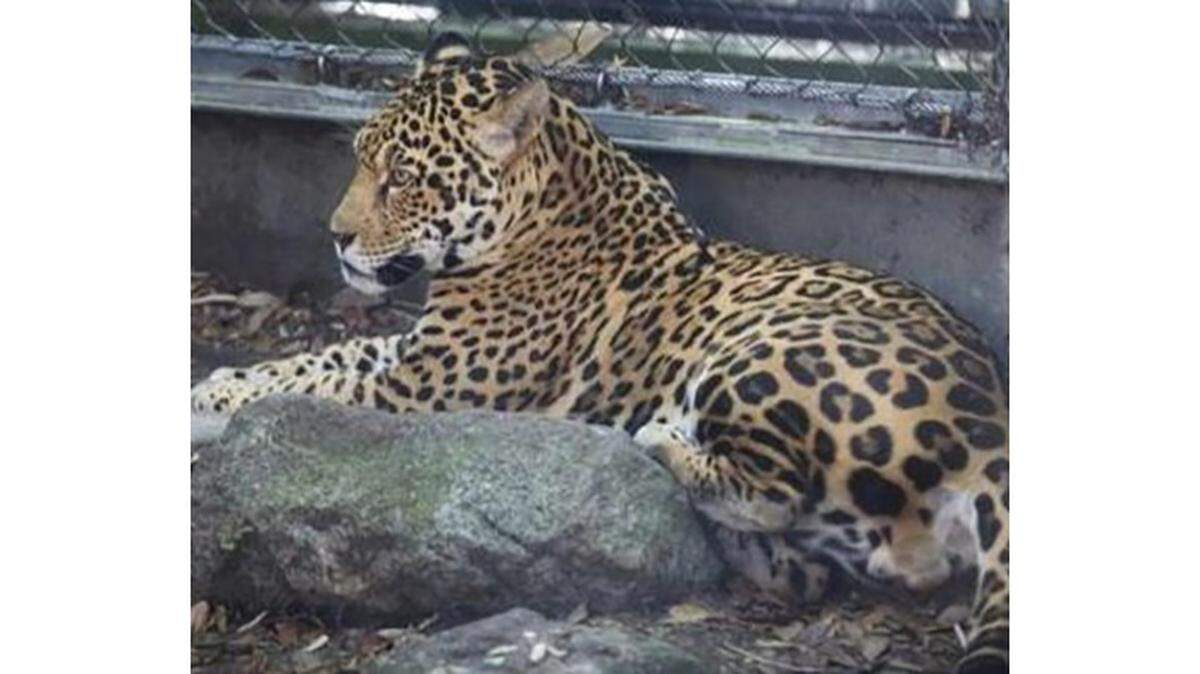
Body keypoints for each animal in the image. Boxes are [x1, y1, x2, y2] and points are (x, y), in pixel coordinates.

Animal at [192, 32, 1009, 674]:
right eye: (363, 160)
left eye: (403, 178)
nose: (336, 236)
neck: (546, 201)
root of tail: (993, 428)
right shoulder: (415, 357)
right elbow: (319, 361)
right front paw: (214, 386)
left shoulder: (429, 388)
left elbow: (315, 387)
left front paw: (214, 407)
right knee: (841, 567)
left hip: (763, 351)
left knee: (775, 489)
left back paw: (660, 441)